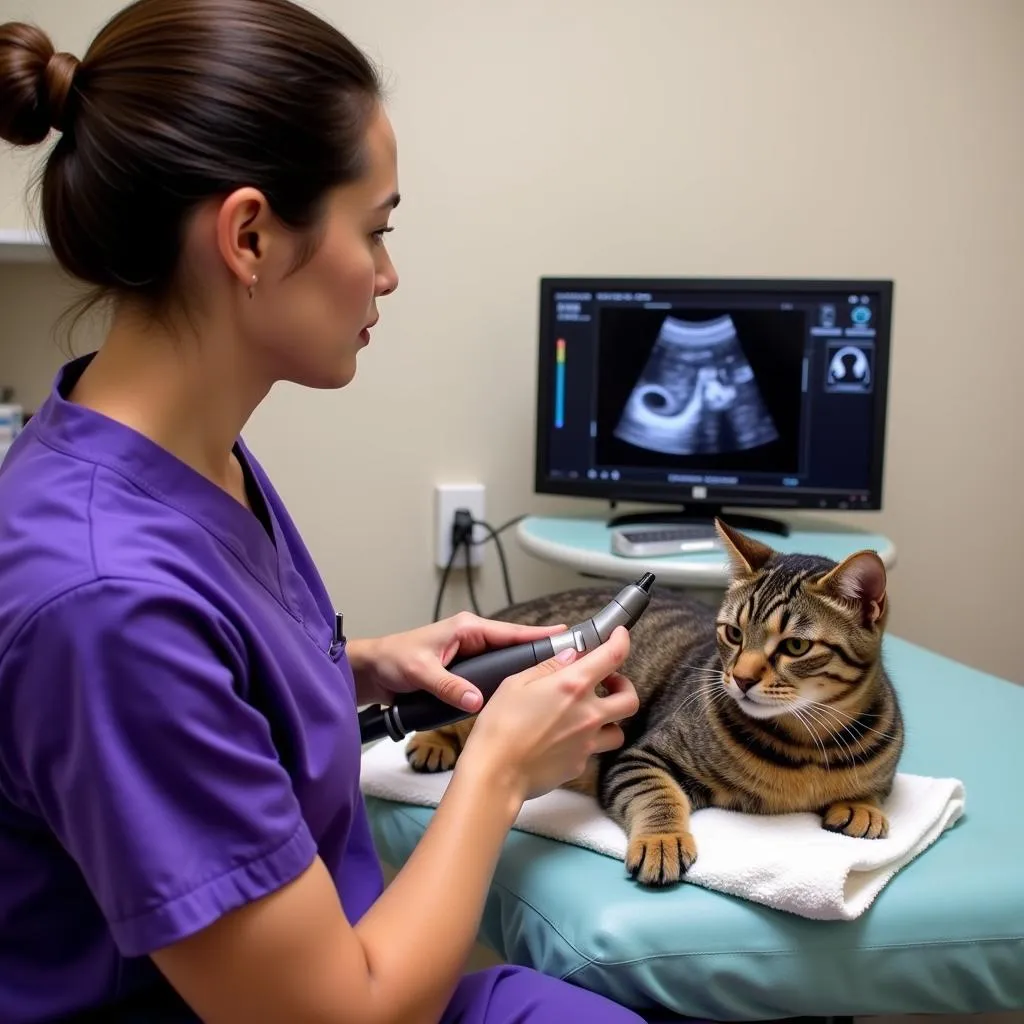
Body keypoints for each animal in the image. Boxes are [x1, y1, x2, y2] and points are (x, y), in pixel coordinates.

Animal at [407, 520, 905, 888]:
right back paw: (433, 742)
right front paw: (663, 841)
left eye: (796, 646)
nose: (741, 679)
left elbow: (876, 788)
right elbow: (657, 793)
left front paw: (862, 806)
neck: (806, 743)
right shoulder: (640, 756)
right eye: (733, 633)